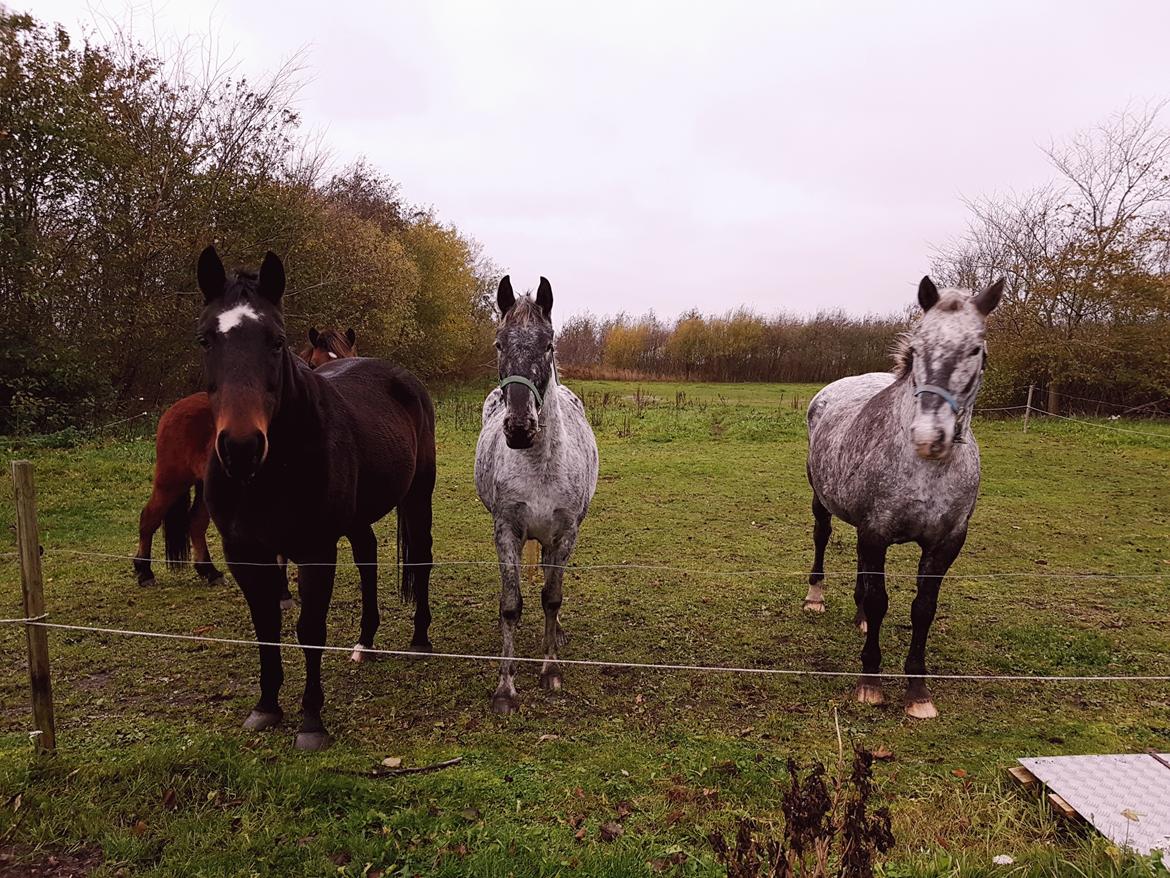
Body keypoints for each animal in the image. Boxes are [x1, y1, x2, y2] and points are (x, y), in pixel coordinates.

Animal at [133, 323, 355, 592]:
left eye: (349, 358)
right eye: (314, 364)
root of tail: (173, 410)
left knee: (196, 523)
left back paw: (209, 571)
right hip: (171, 480)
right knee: (150, 517)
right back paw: (144, 571)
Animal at [196, 248, 435, 749]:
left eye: (276, 340)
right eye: (206, 339)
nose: (241, 447)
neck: (267, 472)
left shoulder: (315, 549)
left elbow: (309, 629)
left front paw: (311, 720)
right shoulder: (245, 552)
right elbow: (266, 626)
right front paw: (266, 705)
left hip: (418, 494)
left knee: (420, 556)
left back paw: (420, 638)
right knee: (367, 556)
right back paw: (365, 642)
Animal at [475, 275, 599, 716]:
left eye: (548, 345)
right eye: (499, 344)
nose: (519, 427)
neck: (540, 465)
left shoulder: (565, 534)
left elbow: (552, 597)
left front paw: (550, 669)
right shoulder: (506, 531)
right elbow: (511, 604)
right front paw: (505, 688)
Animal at [804, 276, 1006, 721]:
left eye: (976, 349)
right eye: (918, 347)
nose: (930, 436)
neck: (926, 470)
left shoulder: (945, 542)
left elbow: (922, 609)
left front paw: (918, 691)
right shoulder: (876, 532)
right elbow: (881, 600)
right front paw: (870, 682)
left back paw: (859, 616)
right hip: (822, 502)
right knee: (822, 537)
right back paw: (815, 597)